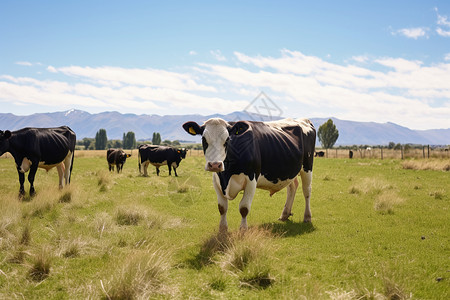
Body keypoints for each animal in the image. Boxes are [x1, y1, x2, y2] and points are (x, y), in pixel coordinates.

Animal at [183, 117, 316, 232]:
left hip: (307, 167)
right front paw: (222, 229)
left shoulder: (252, 179)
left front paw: (243, 230)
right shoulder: (217, 180)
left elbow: (244, 208)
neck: (227, 175)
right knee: (292, 187)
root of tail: (304, 120)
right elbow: (222, 207)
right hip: (289, 171)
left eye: (227, 140)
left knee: (307, 191)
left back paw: (307, 217)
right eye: (204, 139)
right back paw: (284, 214)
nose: (215, 165)